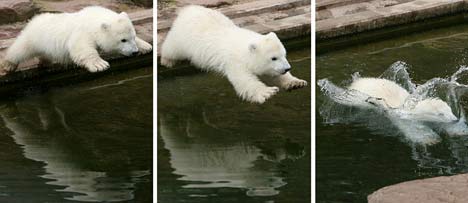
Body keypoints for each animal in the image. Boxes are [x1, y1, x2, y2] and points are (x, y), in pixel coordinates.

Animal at [0, 6, 152, 75]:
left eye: (132, 36)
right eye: (123, 40)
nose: (134, 52)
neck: (93, 19)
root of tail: (33, 20)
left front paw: (146, 46)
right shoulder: (82, 32)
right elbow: (82, 48)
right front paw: (100, 65)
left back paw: (45, 62)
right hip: (34, 37)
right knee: (20, 49)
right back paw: (8, 65)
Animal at [161, 5, 308, 104]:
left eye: (284, 54)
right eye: (273, 58)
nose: (287, 68)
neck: (245, 46)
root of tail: (188, 9)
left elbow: (276, 75)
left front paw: (296, 83)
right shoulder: (235, 61)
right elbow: (244, 80)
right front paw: (268, 93)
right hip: (183, 38)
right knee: (172, 48)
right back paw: (166, 60)